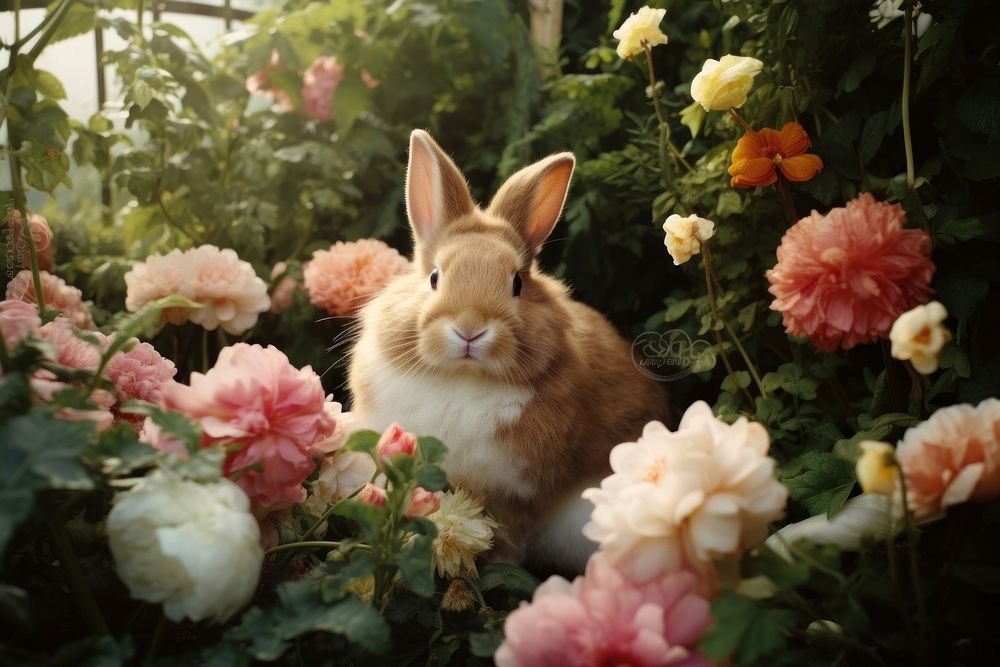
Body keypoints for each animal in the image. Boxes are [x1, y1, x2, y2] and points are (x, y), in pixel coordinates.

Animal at [348, 130, 668, 576]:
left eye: (516, 283)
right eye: (434, 277)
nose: (469, 329)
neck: (463, 378)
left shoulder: (516, 493)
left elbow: (506, 538)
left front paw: (496, 569)